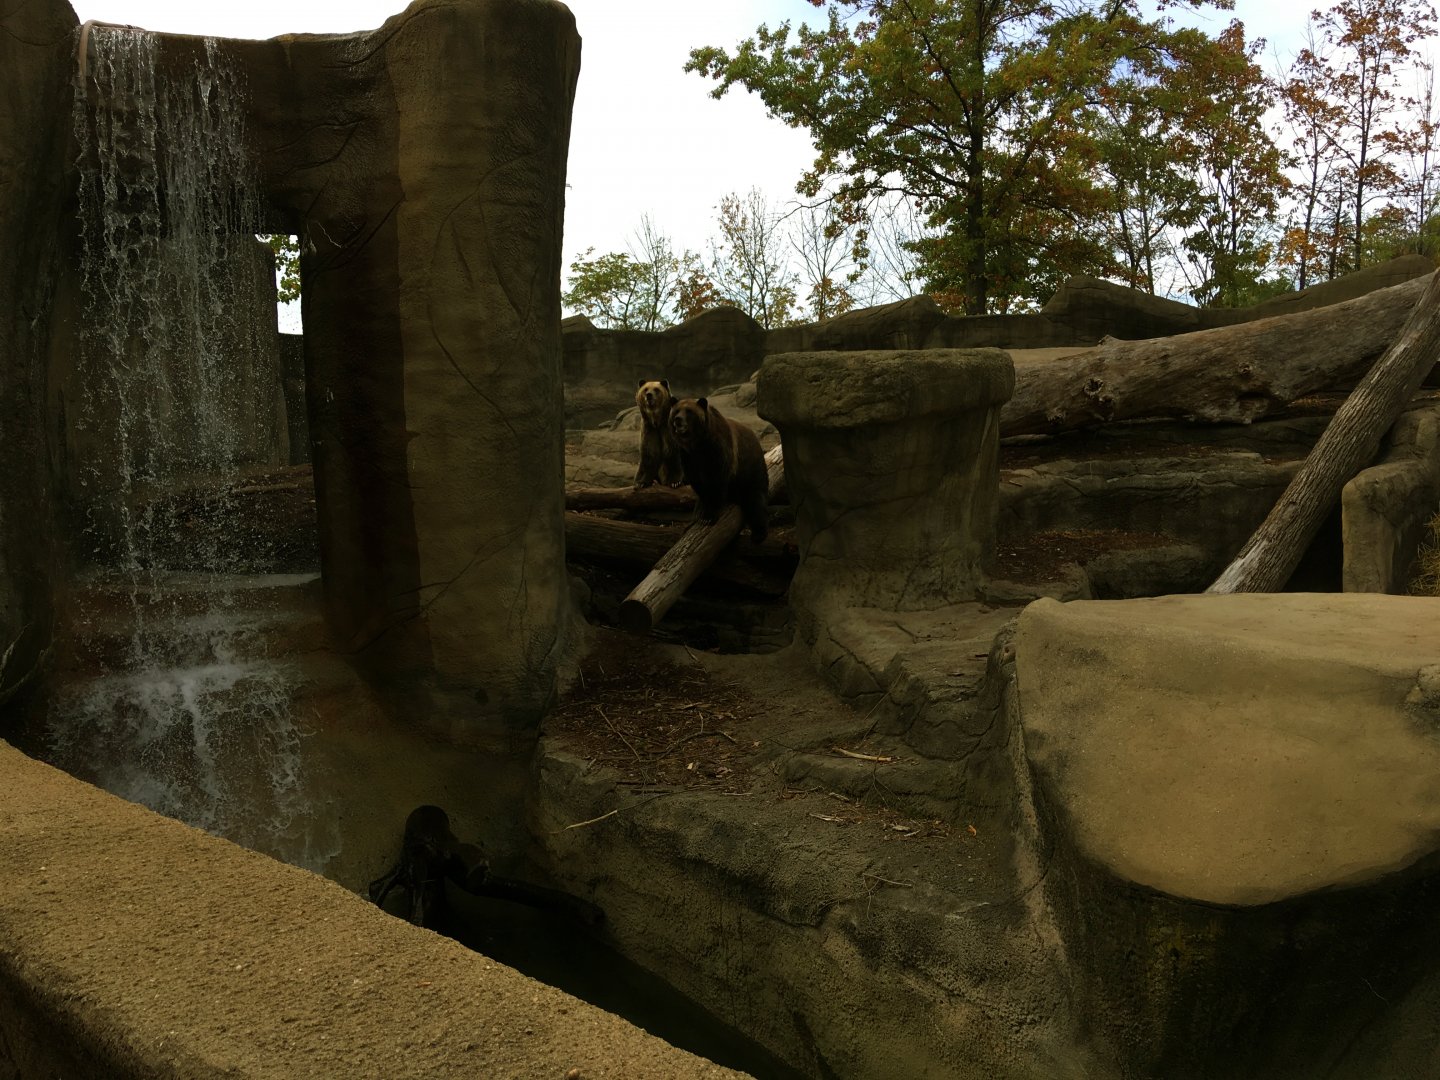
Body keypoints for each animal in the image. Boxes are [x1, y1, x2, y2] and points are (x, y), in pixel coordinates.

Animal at [668, 397, 768, 544]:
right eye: (676, 410)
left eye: (689, 411)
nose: (678, 419)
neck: (698, 443)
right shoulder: (688, 456)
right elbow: (697, 482)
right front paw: (702, 510)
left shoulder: (718, 450)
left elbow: (717, 481)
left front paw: (709, 516)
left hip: (750, 469)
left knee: (755, 499)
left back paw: (759, 534)